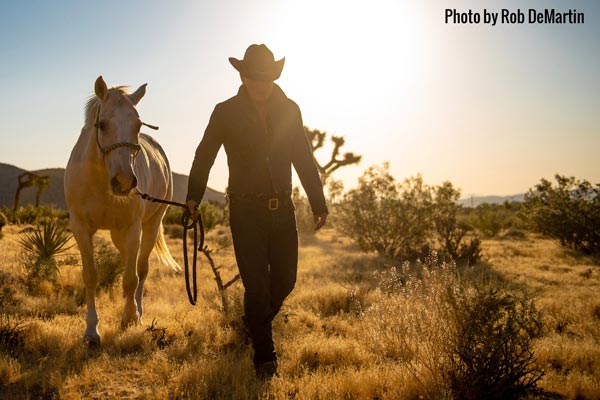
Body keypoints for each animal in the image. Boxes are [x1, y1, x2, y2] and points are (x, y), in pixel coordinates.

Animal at [65, 76, 179, 346]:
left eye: (137, 125)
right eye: (102, 125)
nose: (125, 181)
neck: (101, 182)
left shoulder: (133, 228)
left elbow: (131, 277)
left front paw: (130, 319)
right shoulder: (80, 227)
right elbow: (91, 276)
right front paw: (91, 331)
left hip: (151, 225)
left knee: (141, 269)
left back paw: (137, 311)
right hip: (118, 234)